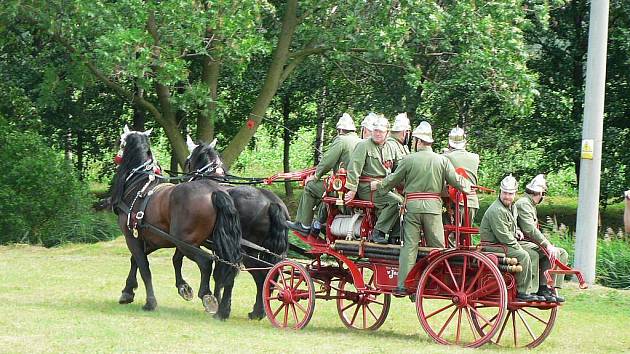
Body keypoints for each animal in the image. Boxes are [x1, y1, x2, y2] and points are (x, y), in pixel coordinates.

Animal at [112, 126, 243, 320]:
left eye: (121, 141)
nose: (116, 157)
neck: (139, 184)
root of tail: (214, 192)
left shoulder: (132, 236)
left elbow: (144, 267)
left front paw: (150, 302)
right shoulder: (155, 239)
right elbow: (140, 260)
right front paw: (128, 291)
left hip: (185, 241)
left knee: (206, 263)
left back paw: (208, 296)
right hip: (201, 242)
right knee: (226, 268)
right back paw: (223, 309)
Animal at [180, 138, 292, 320]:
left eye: (187, 161)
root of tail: (272, 203)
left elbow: (221, 274)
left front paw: (216, 303)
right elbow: (219, 274)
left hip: (247, 251)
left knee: (257, 275)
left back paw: (231, 311)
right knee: (266, 275)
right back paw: (258, 311)